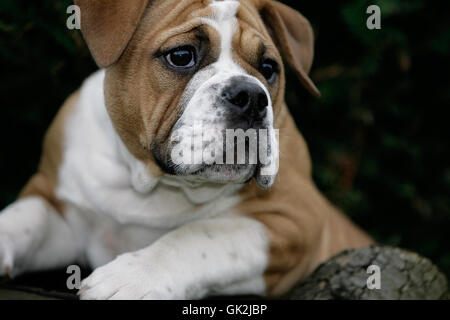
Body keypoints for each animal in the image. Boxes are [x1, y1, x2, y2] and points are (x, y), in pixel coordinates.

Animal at [0, 0, 372, 300]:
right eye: (181, 56)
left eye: (269, 69)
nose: (251, 96)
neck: (153, 183)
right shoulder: (60, 210)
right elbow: (23, 218)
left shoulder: (296, 222)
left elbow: (201, 235)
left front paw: (131, 278)